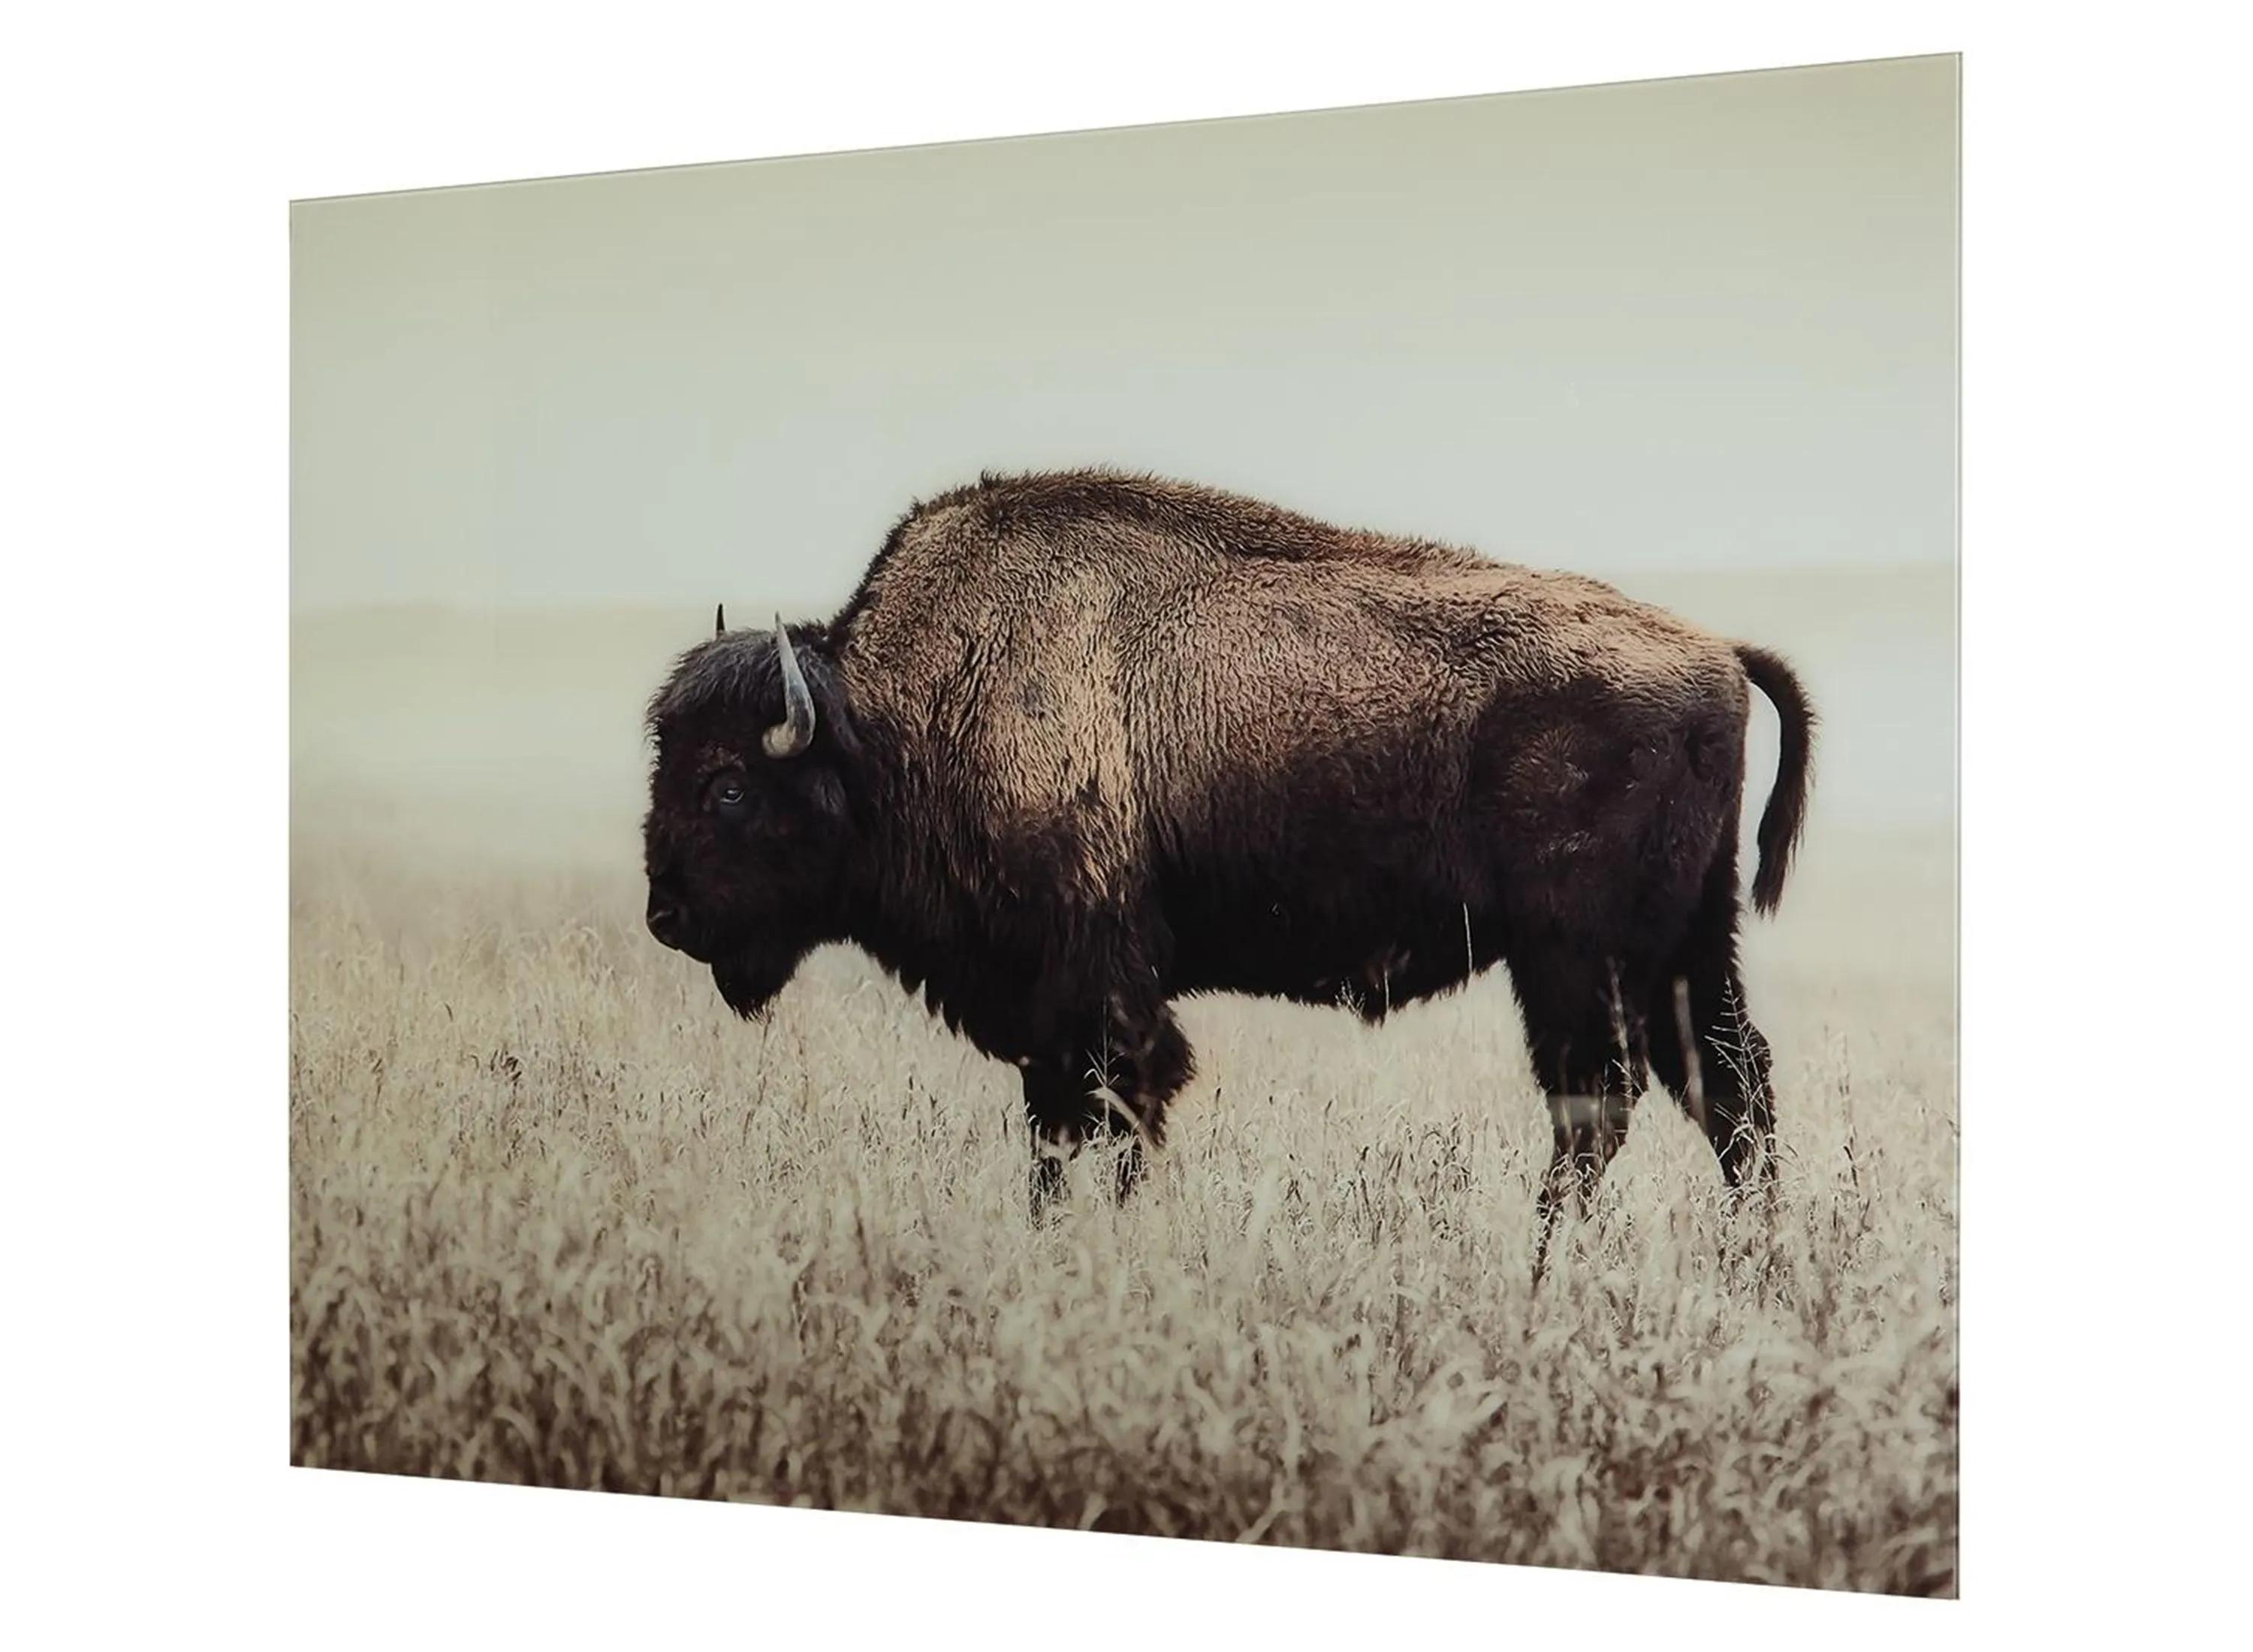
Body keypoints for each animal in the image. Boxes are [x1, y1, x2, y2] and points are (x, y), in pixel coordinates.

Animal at [643, 470, 1813, 1247]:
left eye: (728, 785)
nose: (667, 917)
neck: (890, 726)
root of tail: (1716, 650)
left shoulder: (1098, 992)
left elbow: (1113, 1115)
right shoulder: (1050, 1017)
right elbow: (1055, 1133)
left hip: (1578, 958)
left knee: (1600, 1100)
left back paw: (1545, 1259)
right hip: (1685, 947)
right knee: (1726, 1086)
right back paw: (1749, 1264)